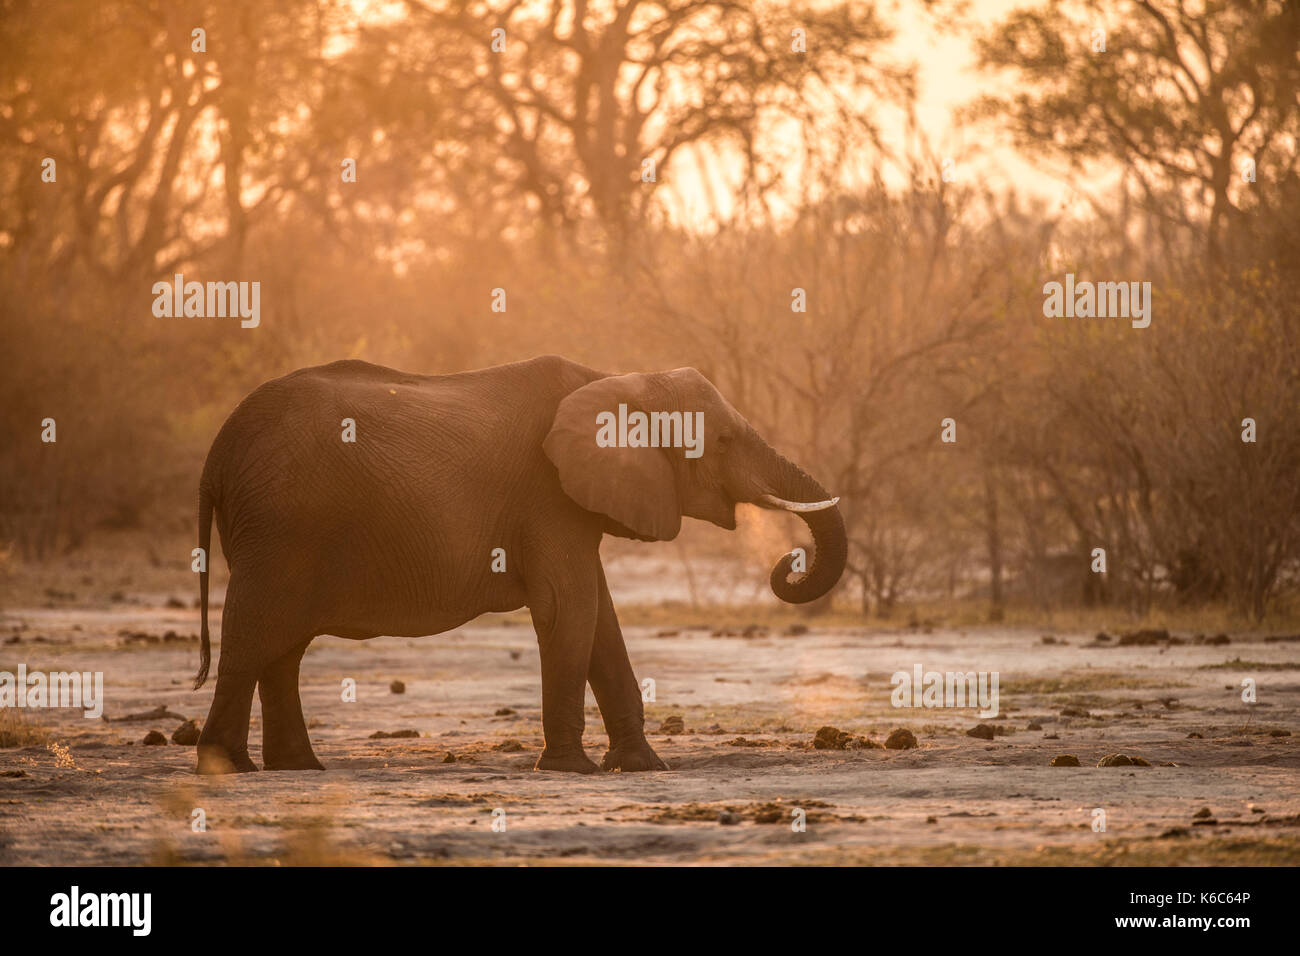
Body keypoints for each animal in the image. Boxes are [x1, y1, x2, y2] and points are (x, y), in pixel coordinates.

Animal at [189, 356, 842, 775]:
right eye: (723, 441)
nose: (787, 563)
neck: (615, 379)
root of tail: (215, 455)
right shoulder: (547, 496)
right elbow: (569, 608)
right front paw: (571, 770)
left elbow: (600, 617)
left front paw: (643, 767)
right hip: (280, 527)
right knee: (255, 630)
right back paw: (229, 769)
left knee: (283, 644)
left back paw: (297, 767)